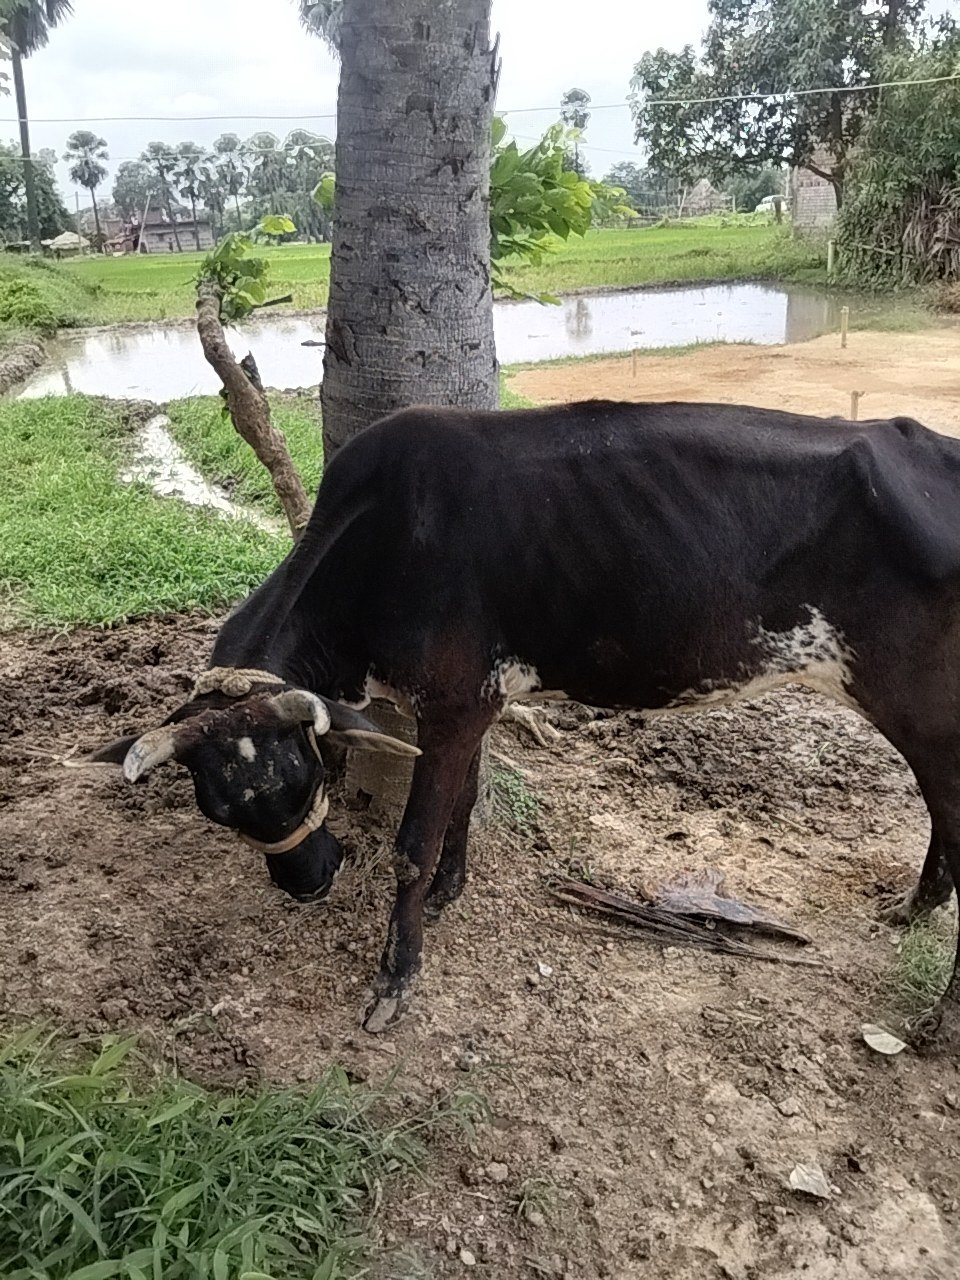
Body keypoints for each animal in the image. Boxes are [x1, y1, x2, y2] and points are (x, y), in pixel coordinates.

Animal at [86, 400, 960, 1039]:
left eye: (307, 772)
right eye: (219, 807)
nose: (308, 882)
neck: (379, 547)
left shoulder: (452, 703)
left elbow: (410, 846)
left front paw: (395, 979)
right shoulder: (472, 703)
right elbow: (464, 804)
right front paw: (450, 891)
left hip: (923, 708)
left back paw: (934, 1021)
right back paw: (913, 911)